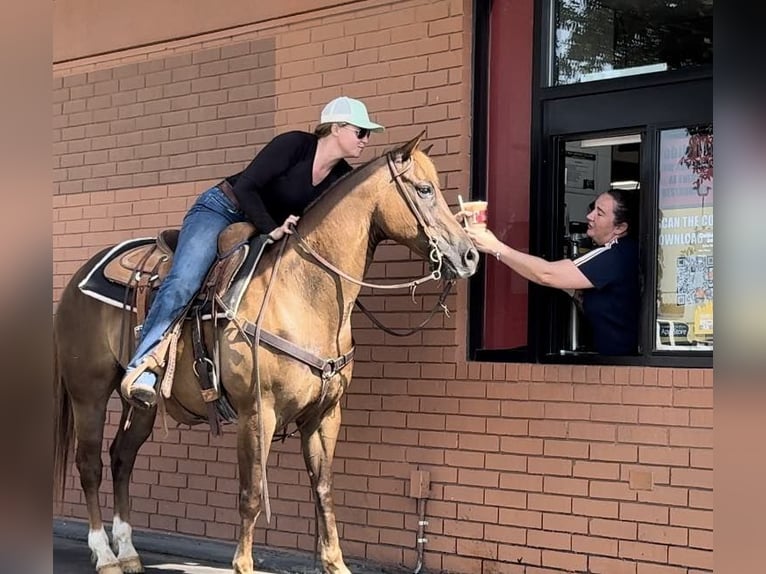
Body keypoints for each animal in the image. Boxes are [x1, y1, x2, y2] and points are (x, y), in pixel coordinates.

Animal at [52, 133, 480, 572]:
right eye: (425, 190)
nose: (469, 255)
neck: (303, 291)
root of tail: (77, 278)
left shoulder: (324, 415)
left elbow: (323, 488)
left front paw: (334, 562)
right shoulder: (258, 413)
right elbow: (253, 492)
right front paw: (243, 564)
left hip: (142, 405)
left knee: (122, 458)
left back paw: (129, 551)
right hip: (89, 393)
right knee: (90, 464)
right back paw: (105, 554)